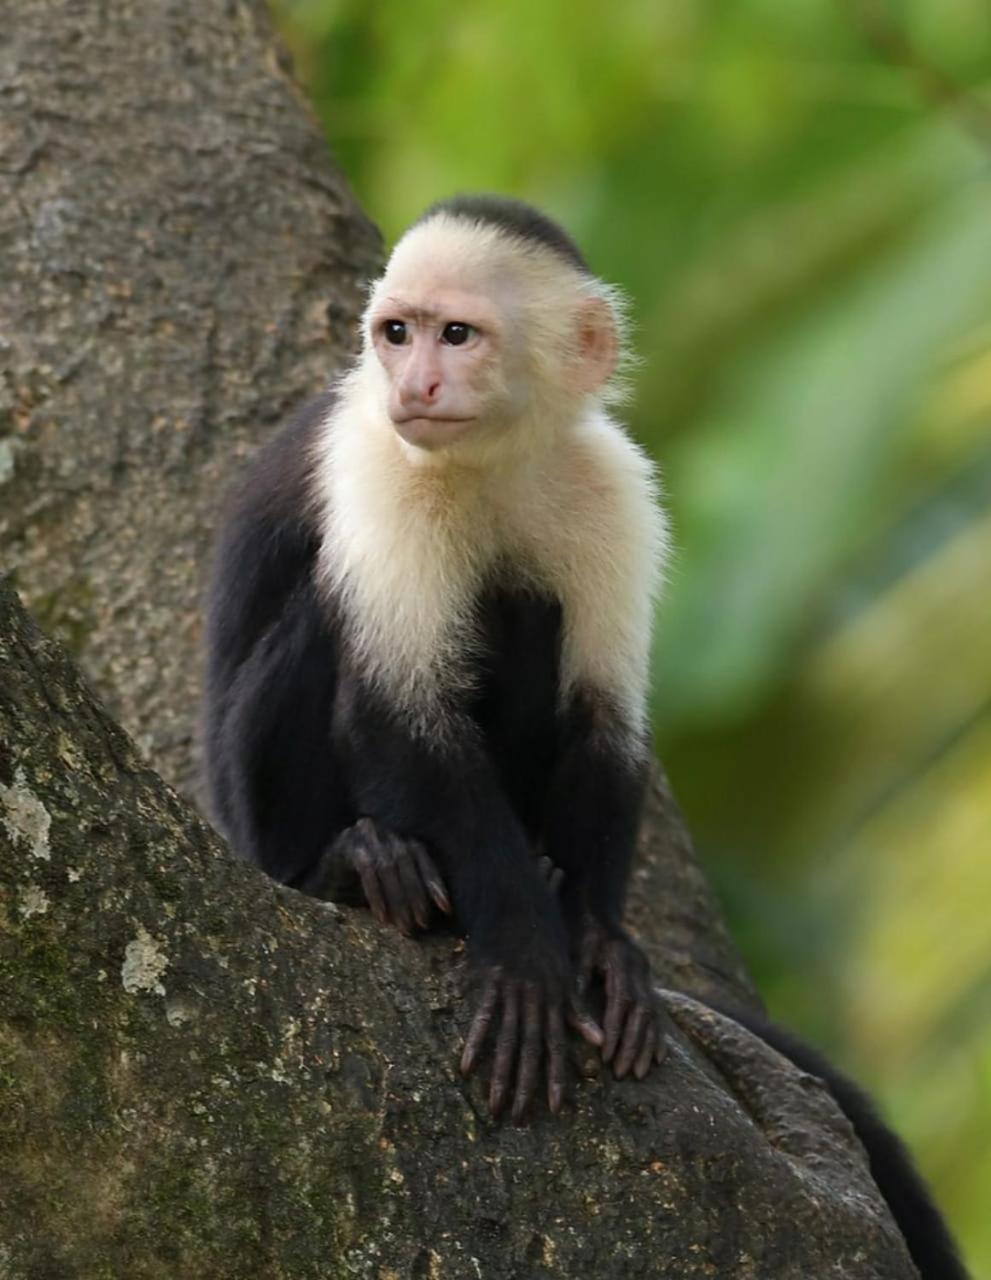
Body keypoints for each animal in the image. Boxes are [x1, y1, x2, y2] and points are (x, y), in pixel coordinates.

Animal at [201, 194, 968, 1277]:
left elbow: (606, 719)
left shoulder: (611, 483)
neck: (494, 458)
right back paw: (356, 865)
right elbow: (396, 706)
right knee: (339, 621)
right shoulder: (379, 464)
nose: (415, 382)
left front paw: (599, 938)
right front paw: (524, 947)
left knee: (528, 606)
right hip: (253, 818)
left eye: (455, 335)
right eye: (395, 333)